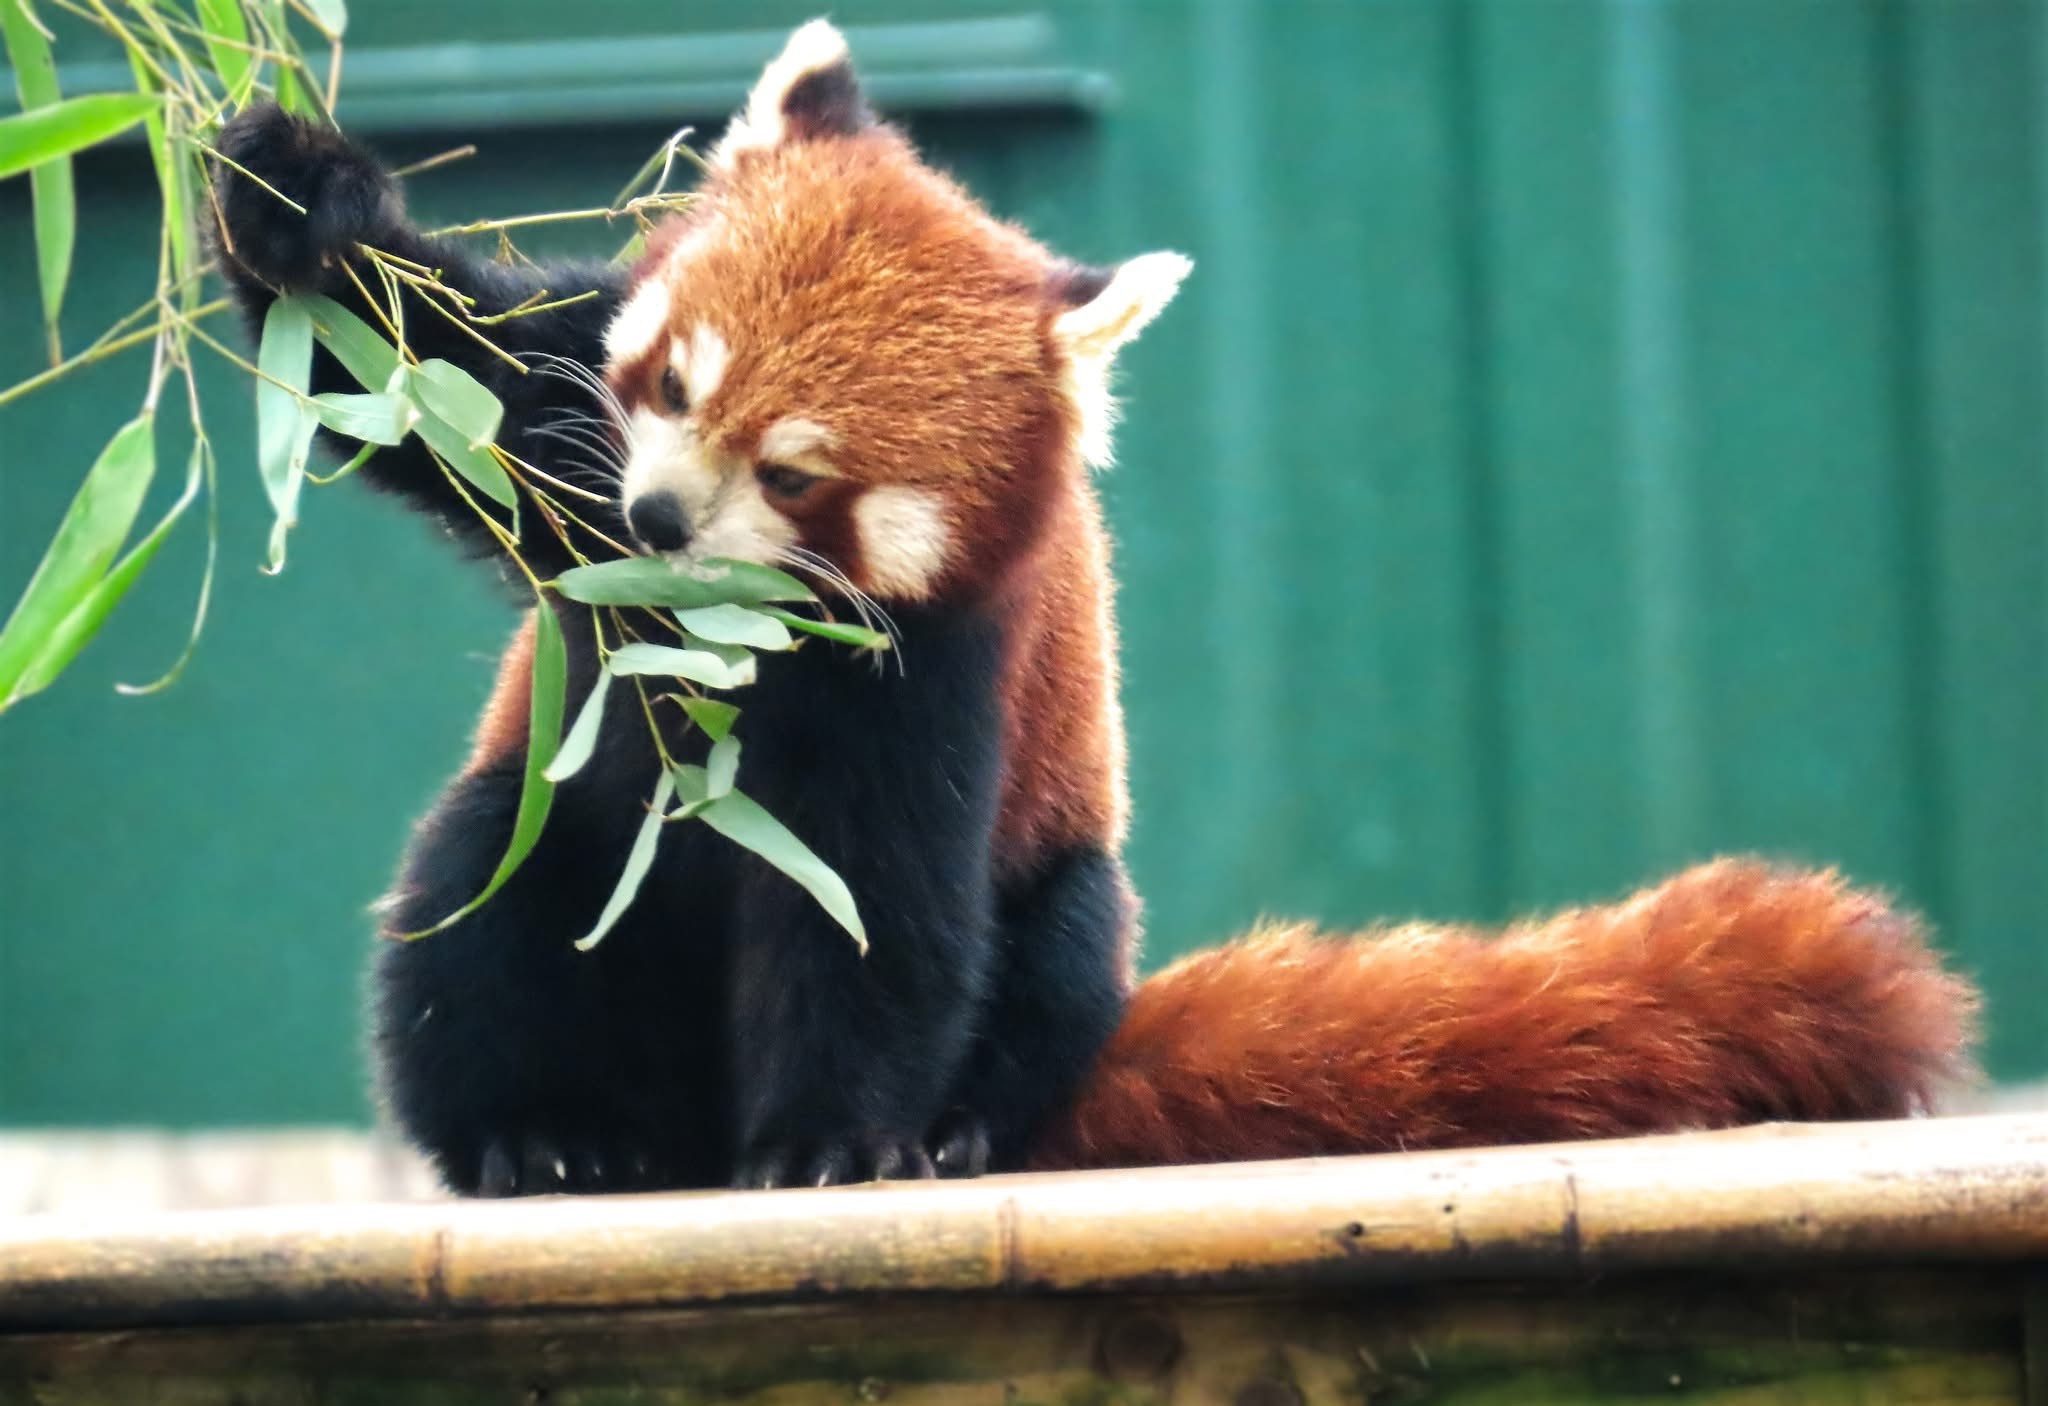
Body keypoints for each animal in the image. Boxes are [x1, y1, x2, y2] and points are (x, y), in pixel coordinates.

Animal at [211, 19, 1982, 1195]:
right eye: (671, 384)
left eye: (794, 473)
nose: (650, 523)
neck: (733, 637)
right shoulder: (561, 413)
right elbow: (428, 377)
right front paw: (295, 202)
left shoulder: (942, 669)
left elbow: (875, 918)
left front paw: (832, 1144)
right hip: (548, 835)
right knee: (483, 899)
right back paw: (549, 1134)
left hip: (1073, 898)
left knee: (1052, 944)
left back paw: (945, 1131)